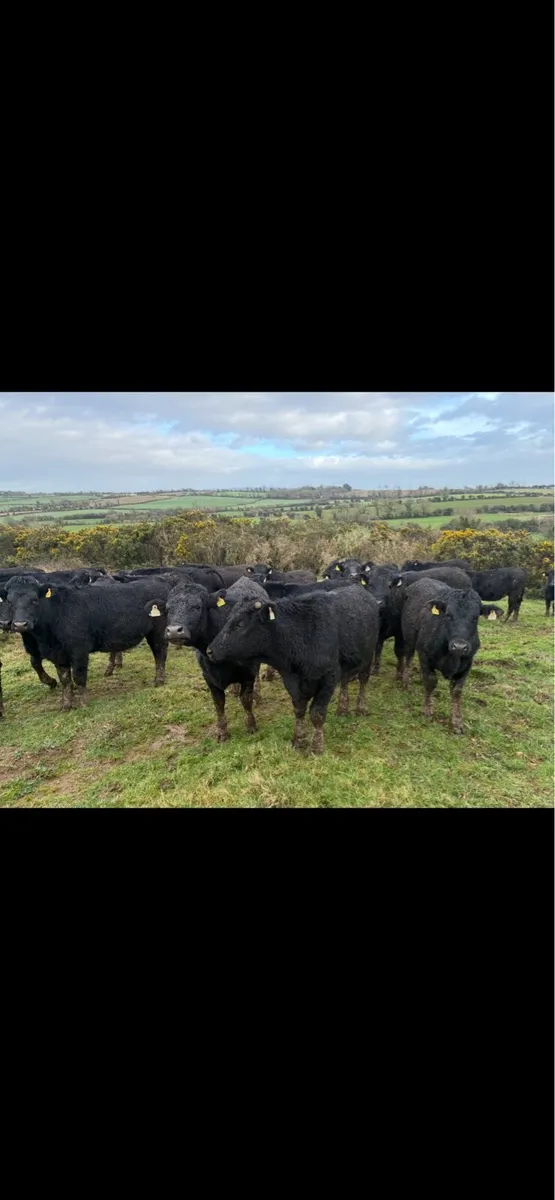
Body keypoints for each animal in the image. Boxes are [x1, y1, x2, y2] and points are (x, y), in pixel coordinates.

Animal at [206, 585, 380, 755]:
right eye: (228, 619)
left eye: (241, 623)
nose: (210, 650)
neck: (303, 636)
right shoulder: (291, 680)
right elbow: (299, 710)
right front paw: (299, 739)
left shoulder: (328, 678)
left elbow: (317, 714)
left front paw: (317, 746)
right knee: (345, 682)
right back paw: (342, 709)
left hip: (368, 657)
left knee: (363, 680)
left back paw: (361, 708)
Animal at [399, 578, 504, 733]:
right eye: (448, 615)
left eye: (475, 617)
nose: (459, 646)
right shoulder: (424, 656)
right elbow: (430, 682)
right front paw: (427, 709)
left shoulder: (467, 663)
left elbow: (457, 691)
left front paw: (457, 721)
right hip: (409, 639)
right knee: (408, 659)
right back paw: (406, 682)